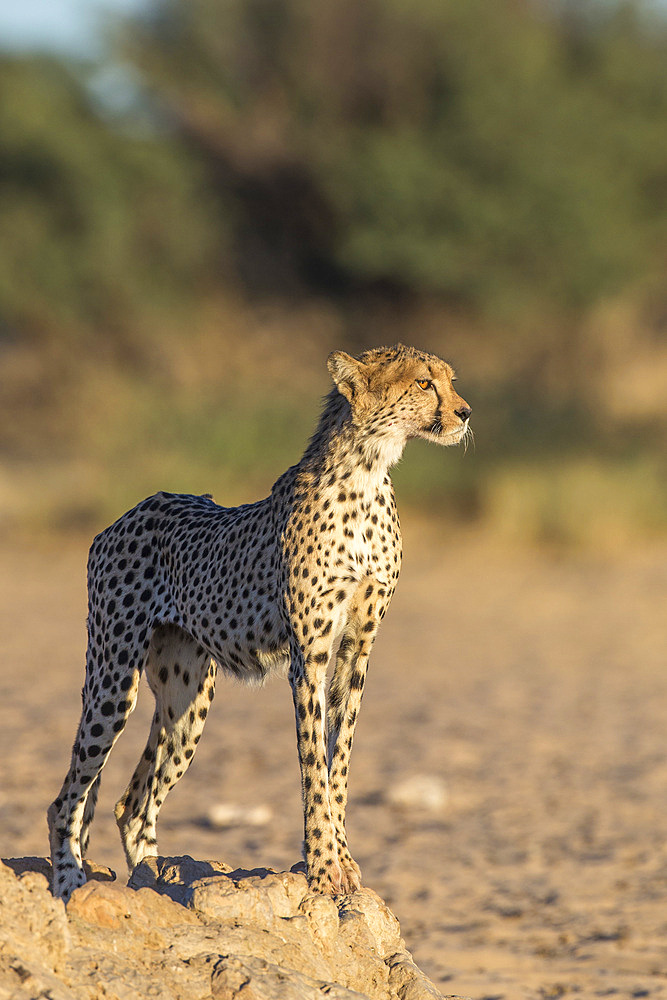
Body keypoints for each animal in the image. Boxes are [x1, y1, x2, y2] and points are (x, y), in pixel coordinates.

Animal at [48, 342, 470, 900]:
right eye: (424, 383)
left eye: (450, 379)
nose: (466, 413)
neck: (366, 471)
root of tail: (126, 513)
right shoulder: (308, 656)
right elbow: (313, 764)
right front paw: (321, 866)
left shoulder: (356, 649)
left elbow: (340, 759)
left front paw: (344, 860)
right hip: (114, 680)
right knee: (69, 798)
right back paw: (70, 880)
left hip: (188, 699)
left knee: (132, 805)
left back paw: (151, 882)